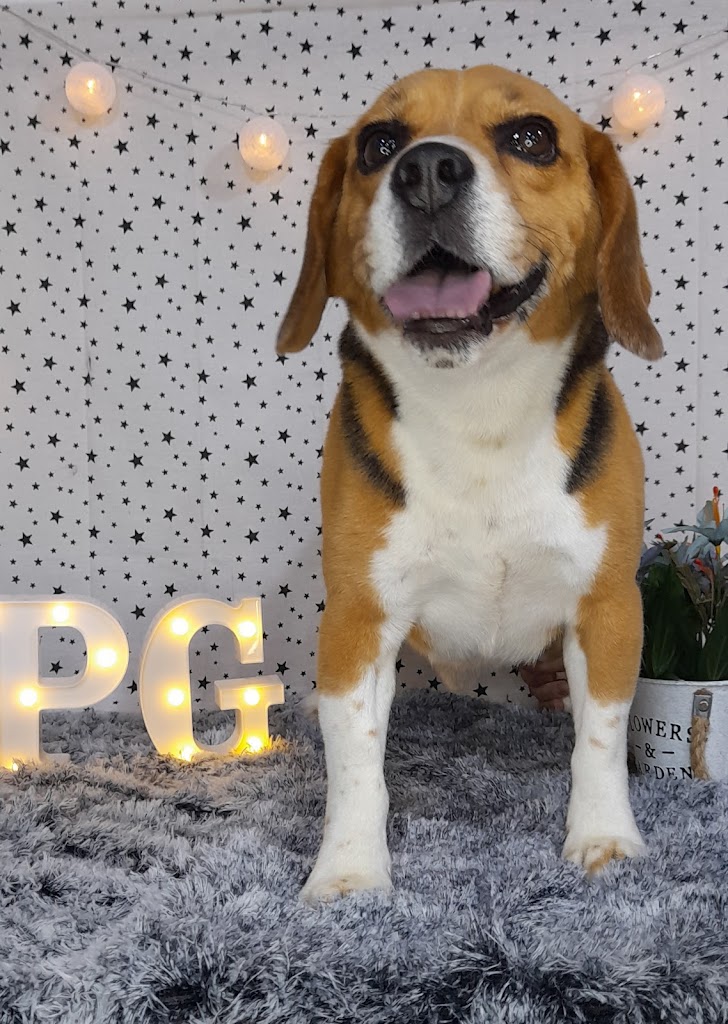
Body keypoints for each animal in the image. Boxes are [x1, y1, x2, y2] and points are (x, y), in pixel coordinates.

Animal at [276, 65, 663, 902]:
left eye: (532, 137)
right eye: (377, 144)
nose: (424, 171)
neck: (478, 405)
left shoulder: (609, 607)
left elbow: (600, 739)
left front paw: (604, 840)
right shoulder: (356, 619)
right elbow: (356, 759)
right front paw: (350, 871)